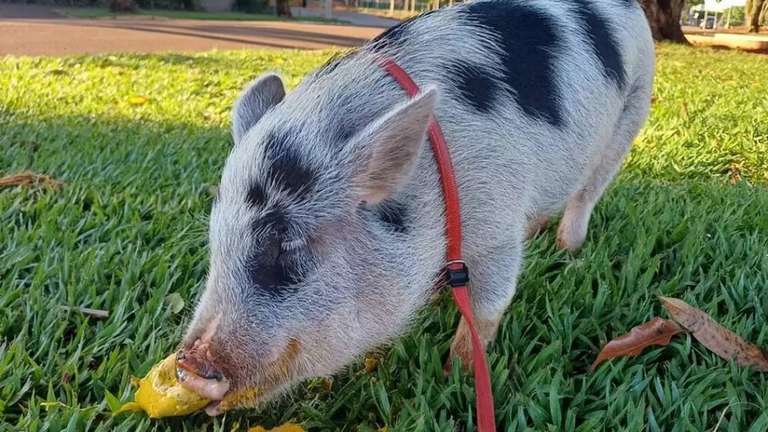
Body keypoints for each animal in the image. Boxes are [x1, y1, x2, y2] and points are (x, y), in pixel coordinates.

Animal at [176, 0, 655, 415]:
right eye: (215, 240)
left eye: (288, 246)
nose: (187, 367)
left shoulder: (497, 225)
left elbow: (489, 306)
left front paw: (453, 376)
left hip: (633, 111)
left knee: (588, 191)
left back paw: (567, 249)